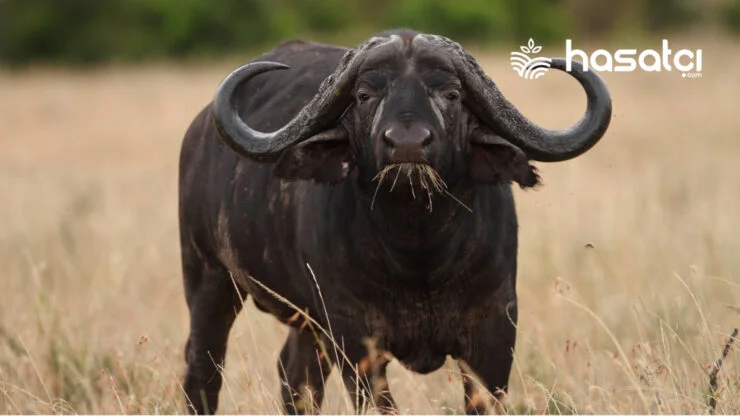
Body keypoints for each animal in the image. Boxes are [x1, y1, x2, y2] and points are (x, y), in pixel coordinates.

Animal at [178, 28, 612, 414]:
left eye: (451, 94)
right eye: (365, 95)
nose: (407, 143)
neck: (419, 255)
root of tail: (198, 133)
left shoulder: (495, 330)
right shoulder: (355, 338)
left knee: (296, 376)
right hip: (208, 278)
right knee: (203, 365)